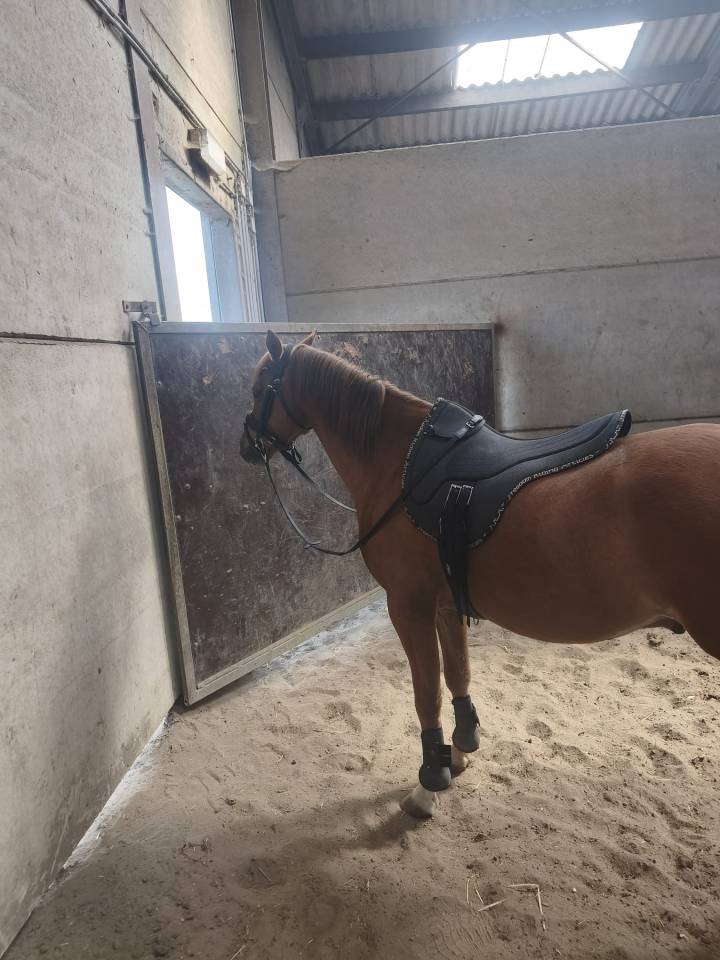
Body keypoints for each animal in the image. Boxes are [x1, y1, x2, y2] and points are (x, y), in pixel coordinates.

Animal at [240, 330, 720, 818]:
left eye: (260, 389)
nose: (247, 445)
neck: (398, 465)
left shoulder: (407, 607)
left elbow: (426, 693)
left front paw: (429, 783)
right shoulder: (445, 605)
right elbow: (458, 675)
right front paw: (461, 750)